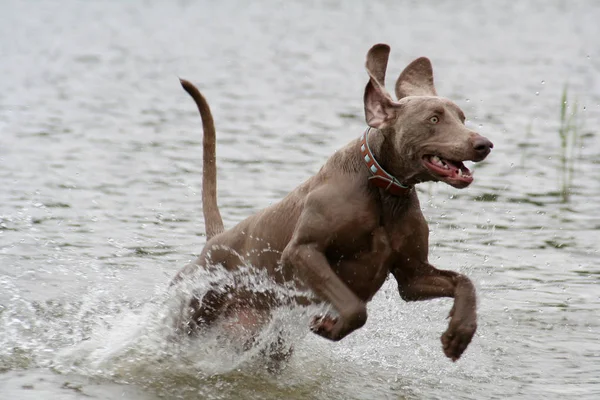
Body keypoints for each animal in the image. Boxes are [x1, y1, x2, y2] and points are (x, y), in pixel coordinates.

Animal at [172, 43, 492, 362]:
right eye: (433, 119)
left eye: (462, 118)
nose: (484, 144)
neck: (384, 190)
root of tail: (215, 240)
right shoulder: (303, 251)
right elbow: (356, 309)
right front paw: (333, 326)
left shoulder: (412, 277)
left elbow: (464, 282)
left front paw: (460, 331)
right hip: (194, 310)